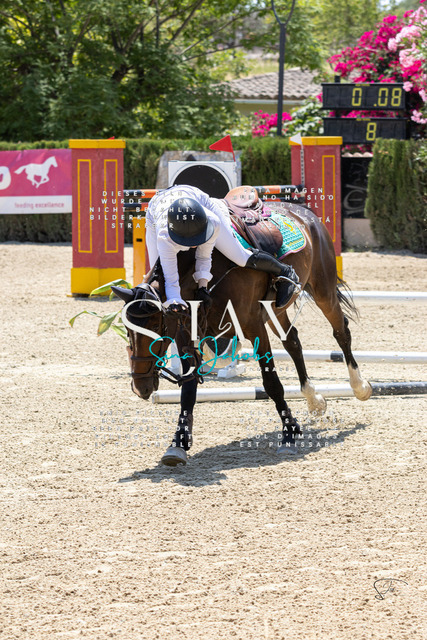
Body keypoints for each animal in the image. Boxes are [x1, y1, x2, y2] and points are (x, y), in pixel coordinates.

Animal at [112, 193, 372, 466]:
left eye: (155, 325)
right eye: (127, 330)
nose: (141, 387)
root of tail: (303, 211)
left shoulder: (253, 325)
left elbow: (271, 382)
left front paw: (289, 434)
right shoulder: (186, 333)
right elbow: (189, 388)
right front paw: (178, 443)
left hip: (323, 290)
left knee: (341, 332)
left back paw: (360, 386)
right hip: (276, 310)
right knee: (293, 342)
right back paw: (314, 400)